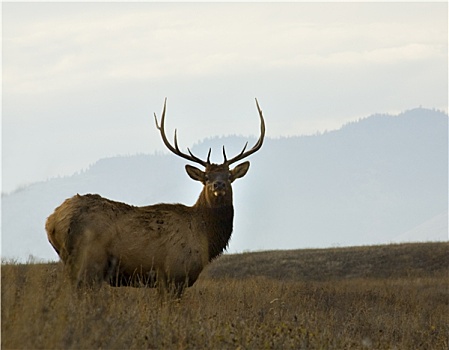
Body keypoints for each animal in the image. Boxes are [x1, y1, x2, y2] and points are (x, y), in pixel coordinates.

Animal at [44, 98, 262, 296]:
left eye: (229, 176)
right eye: (206, 177)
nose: (219, 185)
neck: (206, 237)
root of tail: (51, 221)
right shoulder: (174, 273)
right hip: (89, 261)